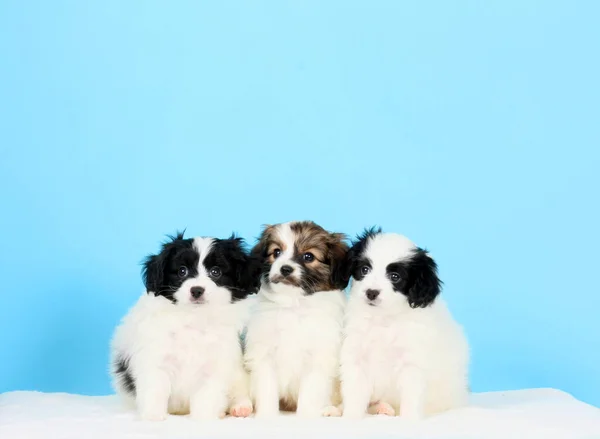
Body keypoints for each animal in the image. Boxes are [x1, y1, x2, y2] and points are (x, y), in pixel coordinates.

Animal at [109, 232, 258, 422]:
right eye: (182, 271)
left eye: (215, 272)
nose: (196, 290)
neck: (193, 318)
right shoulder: (156, 358)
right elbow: (155, 388)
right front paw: (153, 416)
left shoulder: (216, 364)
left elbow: (207, 395)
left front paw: (204, 418)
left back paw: (240, 407)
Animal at [243, 222, 346, 418]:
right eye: (276, 252)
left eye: (308, 256)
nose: (285, 268)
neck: (293, 305)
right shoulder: (264, 355)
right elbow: (267, 390)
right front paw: (266, 416)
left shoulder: (316, 358)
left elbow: (309, 393)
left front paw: (305, 416)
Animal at [340, 229, 472, 422]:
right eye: (364, 269)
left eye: (395, 277)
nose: (371, 292)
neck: (385, 319)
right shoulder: (357, 356)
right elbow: (354, 391)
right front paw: (350, 417)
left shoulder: (413, 363)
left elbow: (411, 395)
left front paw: (409, 420)